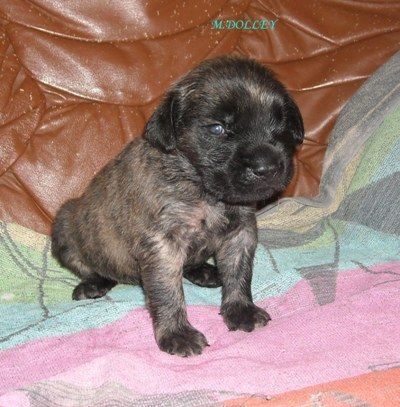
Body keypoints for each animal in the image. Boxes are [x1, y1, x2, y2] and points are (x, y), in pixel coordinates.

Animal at [51, 56, 304, 356]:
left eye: (281, 122)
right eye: (218, 128)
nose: (268, 167)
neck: (204, 190)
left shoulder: (240, 233)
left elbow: (239, 274)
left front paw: (241, 309)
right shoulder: (163, 245)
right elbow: (168, 293)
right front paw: (177, 333)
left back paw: (205, 271)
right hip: (65, 225)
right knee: (93, 268)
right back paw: (93, 284)